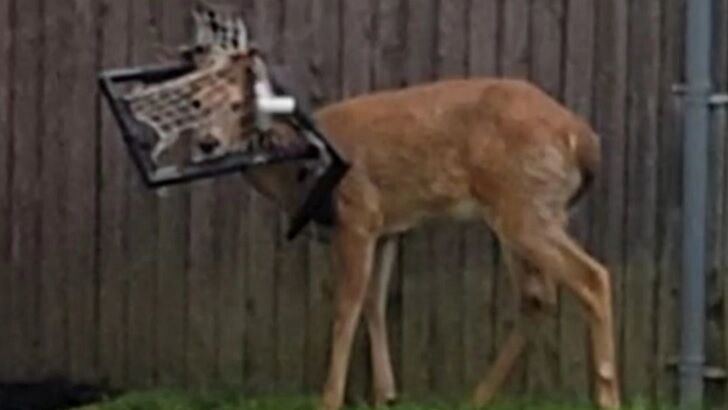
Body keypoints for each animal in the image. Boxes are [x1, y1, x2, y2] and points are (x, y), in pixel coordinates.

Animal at [126, 2, 620, 406]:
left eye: (237, 106)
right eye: (193, 103)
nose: (208, 143)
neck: (299, 165)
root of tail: (584, 140)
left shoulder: (358, 215)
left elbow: (346, 307)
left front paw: (330, 399)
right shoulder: (388, 228)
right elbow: (373, 304)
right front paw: (387, 395)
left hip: (524, 206)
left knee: (592, 277)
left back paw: (605, 395)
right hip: (526, 211)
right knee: (538, 296)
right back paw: (476, 398)